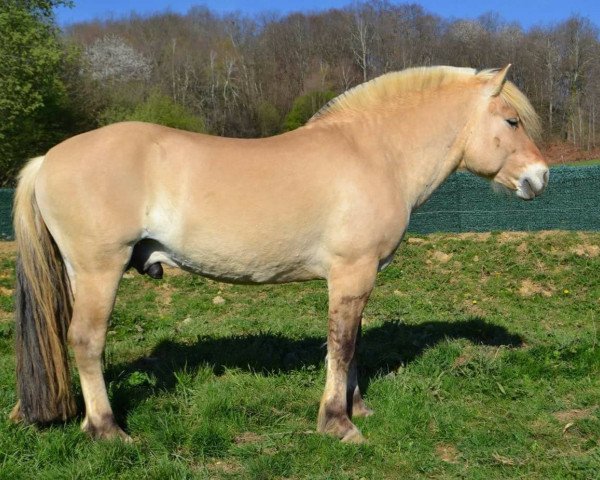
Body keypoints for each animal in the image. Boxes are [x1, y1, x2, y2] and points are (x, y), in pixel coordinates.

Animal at [9, 63, 548, 442]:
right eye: (512, 120)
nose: (541, 178)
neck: (374, 153)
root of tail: (47, 159)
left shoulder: (359, 279)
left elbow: (352, 342)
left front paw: (357, 407)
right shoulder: (351, 273)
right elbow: (341, 345)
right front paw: (338, 423)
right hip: (99, 271)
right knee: (86, 341)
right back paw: (107, 430)